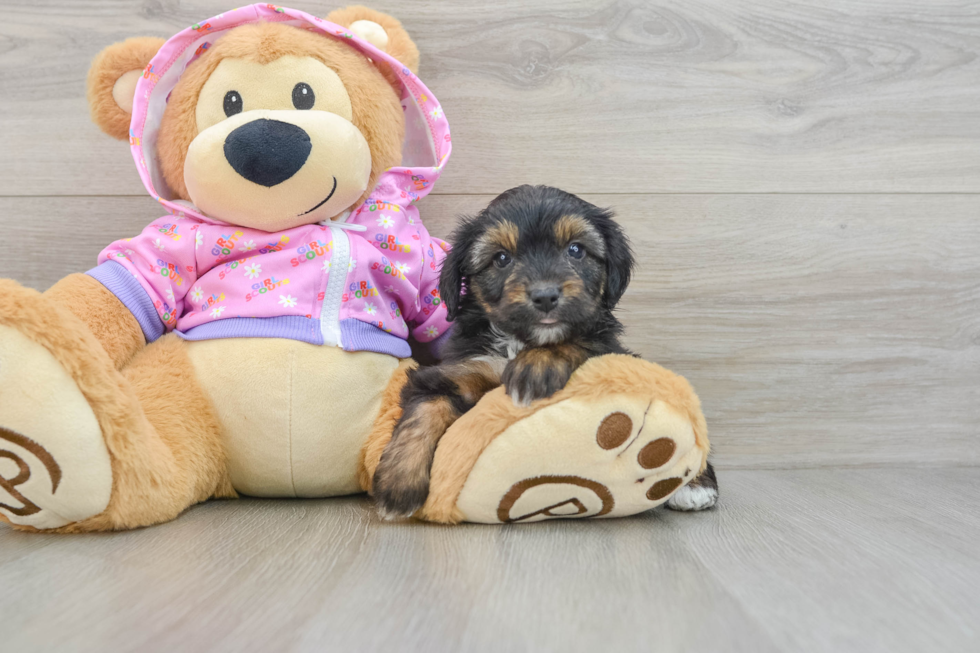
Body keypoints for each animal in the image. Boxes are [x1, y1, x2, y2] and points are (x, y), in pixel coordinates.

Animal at [372, 186, 716, 516]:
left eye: (575, 250)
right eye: (501, 258)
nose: (545, 295)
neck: (521, 342)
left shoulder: (604, 349)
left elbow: (575, 340)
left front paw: (536, 367)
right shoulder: (457, 370)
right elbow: (423, 411)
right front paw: (398, 484)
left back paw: (696, 484)